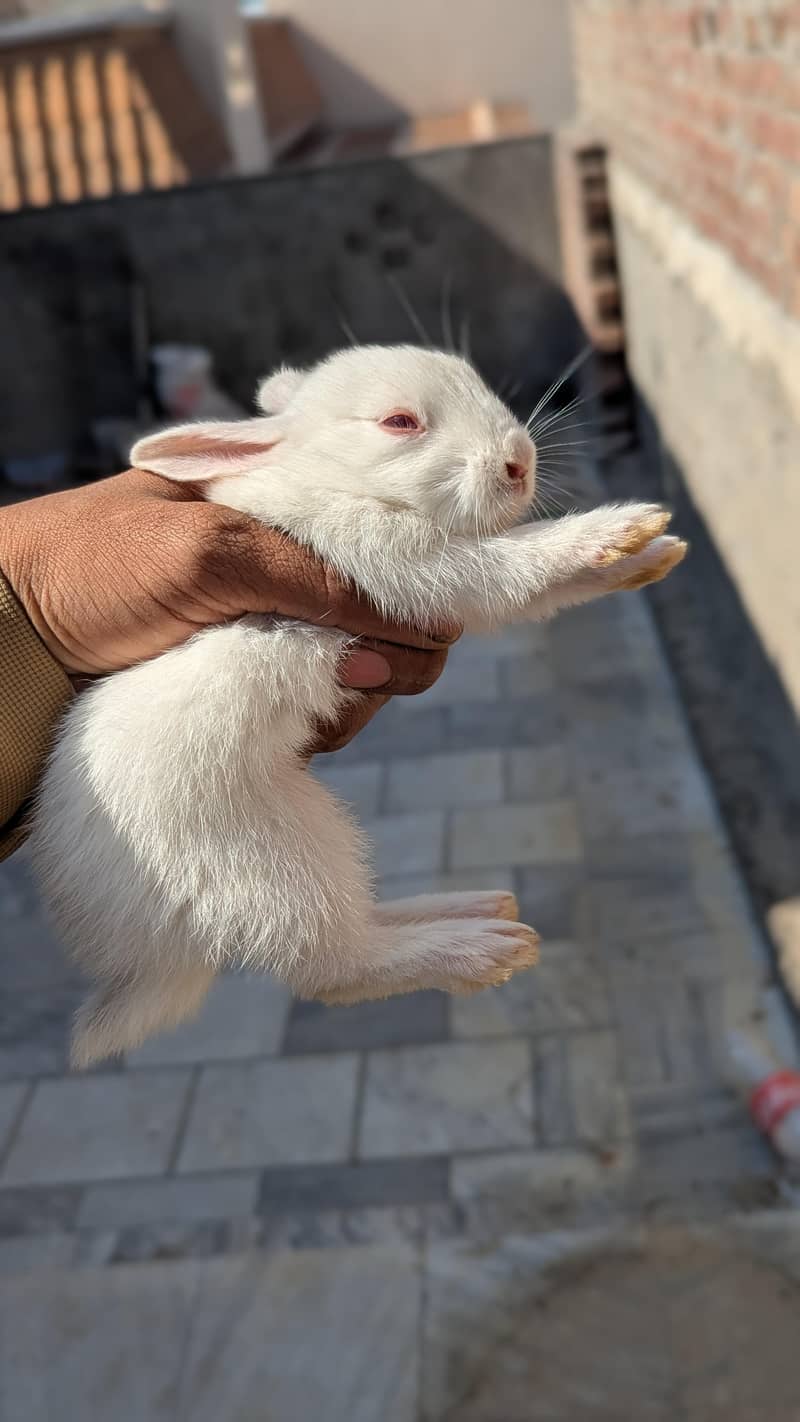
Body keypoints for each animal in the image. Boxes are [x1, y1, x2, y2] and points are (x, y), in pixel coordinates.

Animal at [28, 345, 686, 1067]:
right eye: (399, 422)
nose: (519, 461)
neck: (342, 485)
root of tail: (141, 969)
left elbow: (549, 587)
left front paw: (653, 552)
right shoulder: (413, 566)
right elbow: (519, 561)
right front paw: (620, 526)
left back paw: (479, 906)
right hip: (278, 863)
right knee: (340, 968)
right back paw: (483, 946)